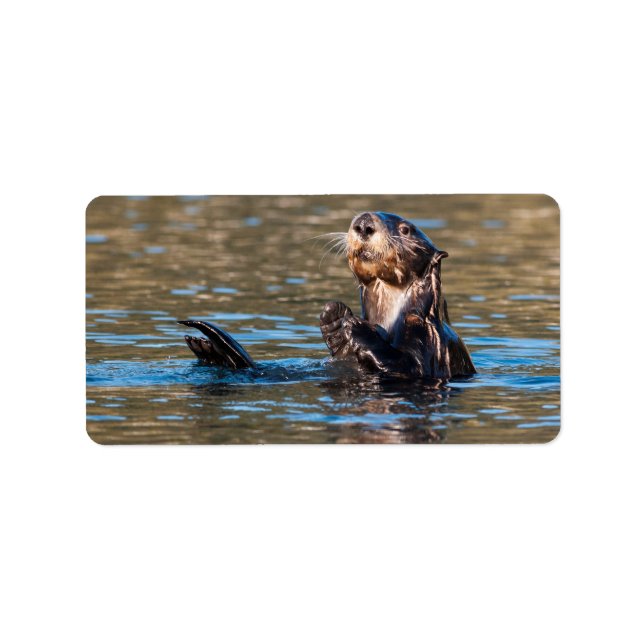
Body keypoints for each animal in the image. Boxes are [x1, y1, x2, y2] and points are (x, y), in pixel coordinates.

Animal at [179, 211, 476, 379]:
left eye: (405, 229)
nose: (364, 224)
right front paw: (334, 318)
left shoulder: (429, 340)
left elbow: (407, 366)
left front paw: (356, 326)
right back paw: (207, 349)